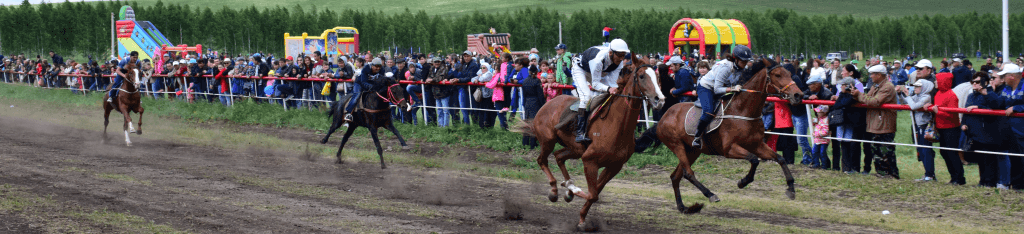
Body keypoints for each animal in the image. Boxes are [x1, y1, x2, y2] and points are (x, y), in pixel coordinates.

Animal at [516, 55, 667, 229]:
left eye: (656, 76)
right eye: (642, 76)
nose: (660, 99)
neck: (616, 125)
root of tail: (549, 103)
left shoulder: (614, 166)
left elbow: (595, 193)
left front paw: (578, 209)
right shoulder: (590, 161)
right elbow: (593, 194)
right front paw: (574, 196)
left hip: (575, 149)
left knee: (559, 156)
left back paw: (568, 186)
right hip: (548, 140)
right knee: (542, 160)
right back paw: (555, 190)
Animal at [634, 57, 802, 213]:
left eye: (789, 74)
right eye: (778, 75)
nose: (798, 95)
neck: (743, 110)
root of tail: (662, 119)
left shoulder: (757, 144)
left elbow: (779, 158)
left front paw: (791, 188)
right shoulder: (729, 149)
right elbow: (754, 160)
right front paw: (743, 181)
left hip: (692, 151)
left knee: (675, 176)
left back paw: (682, 207)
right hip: (677, 146)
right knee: (688, 174)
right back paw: (710, 194)